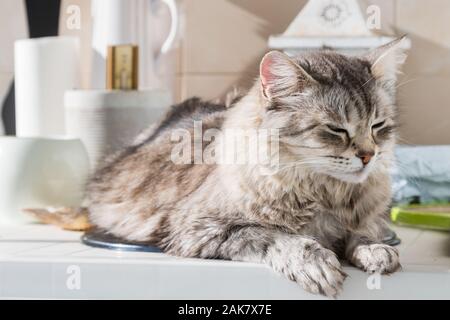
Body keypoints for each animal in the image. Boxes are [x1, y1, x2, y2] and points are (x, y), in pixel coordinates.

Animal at [31, 38, 408, 298]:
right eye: (336, 129)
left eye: (377, 126)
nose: (369, 155)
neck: (327, 193)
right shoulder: (200, 228)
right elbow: (277, 236)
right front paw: (313, 261)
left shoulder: (366, 217)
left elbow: (365, 232)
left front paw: (375, 251)